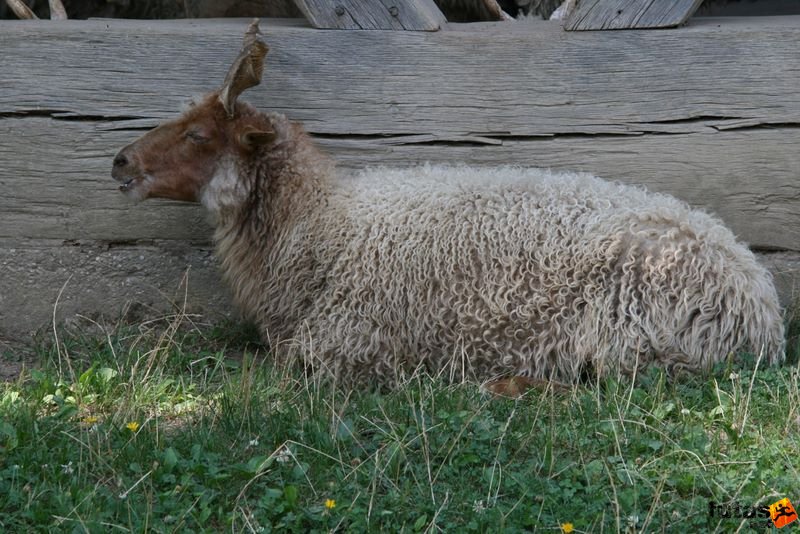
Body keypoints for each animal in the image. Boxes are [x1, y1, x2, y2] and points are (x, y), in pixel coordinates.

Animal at [109, 22, 784, 390]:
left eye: (198, 135)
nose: (119, 163)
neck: (320, 222)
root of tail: (761, 306)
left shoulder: (348, 341)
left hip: (635, 339)